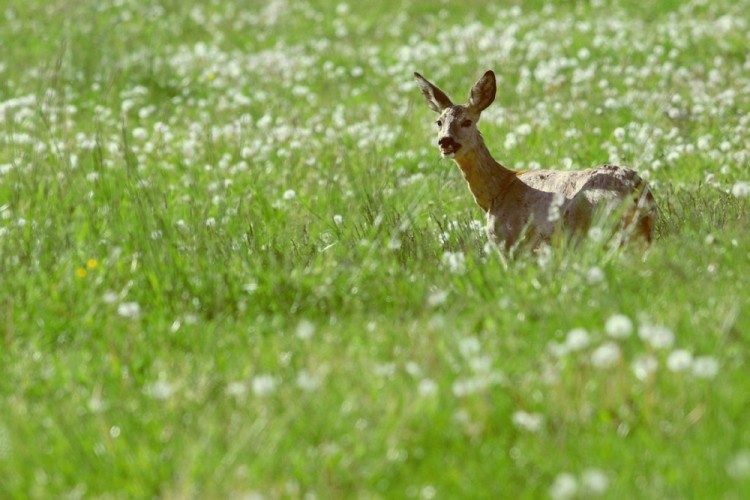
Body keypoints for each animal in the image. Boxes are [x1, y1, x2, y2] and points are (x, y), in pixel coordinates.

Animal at [414, 70, 656, 250]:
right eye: (439, 122)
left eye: (467, 121)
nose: (445, 141)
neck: (497, 191)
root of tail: (637, 192)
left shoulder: (509, 242)